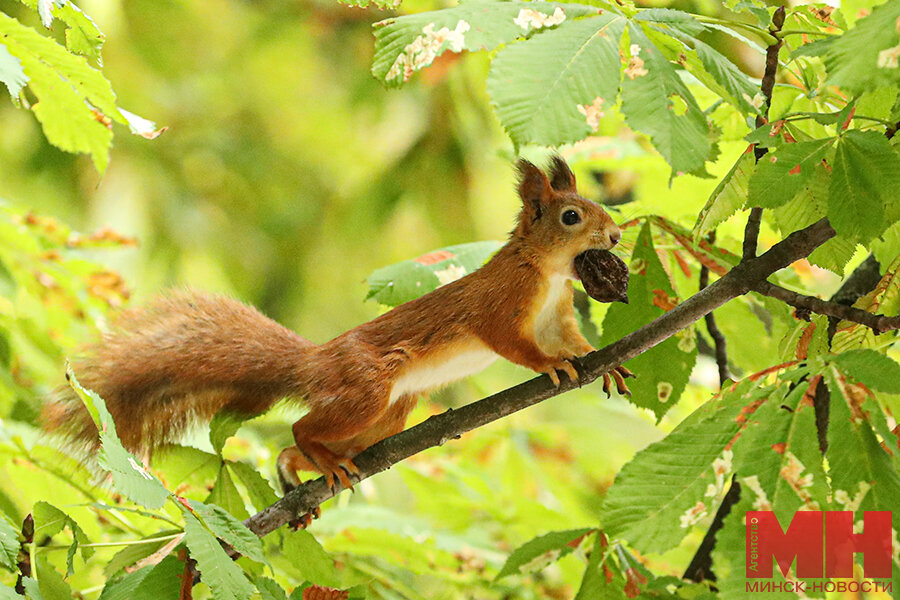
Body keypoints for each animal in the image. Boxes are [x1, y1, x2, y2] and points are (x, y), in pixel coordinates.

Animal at [42, 156, 628, 496]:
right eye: (571, 216)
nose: (618, 235)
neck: (548, 273)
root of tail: (316, 361)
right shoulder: (501, 303)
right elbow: (513, 342)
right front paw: (551, 365)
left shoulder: (558, 311)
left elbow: (572, 338)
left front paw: (602, 365)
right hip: (366, 389)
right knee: (305, 426)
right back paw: (318, 459)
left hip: (389, 414)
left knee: (316, 439)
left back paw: (301, 464)